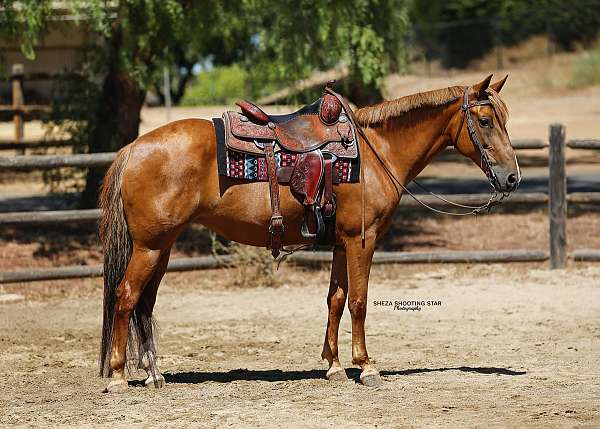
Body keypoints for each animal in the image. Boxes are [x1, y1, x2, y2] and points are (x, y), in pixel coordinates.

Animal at [98, 74, 520, 392]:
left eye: (505, 118)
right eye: (485, 121)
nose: (512, 178)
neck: (377, 151)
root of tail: (133, 148)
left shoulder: (340, 243)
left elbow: (336, 299)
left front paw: (333, 365)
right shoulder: (362, 241)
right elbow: (359, 302)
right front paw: (366, 367)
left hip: (162, 247)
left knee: (146, 303)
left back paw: (153, 373)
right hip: (150, 247)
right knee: (126, 296)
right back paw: (118, 376)